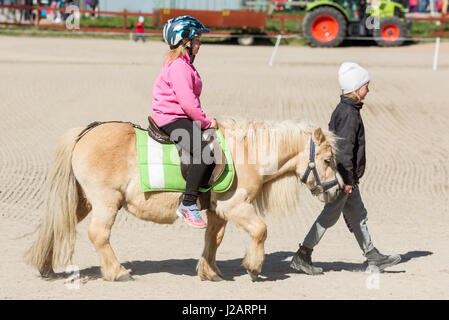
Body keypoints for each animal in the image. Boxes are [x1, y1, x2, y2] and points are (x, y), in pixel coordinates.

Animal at [26, 117, 342, 282]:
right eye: (327, 160)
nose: (337, 190)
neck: (246, 153)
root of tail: (87, 131)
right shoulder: (235, 207)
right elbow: (261, 230)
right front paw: (253, 267)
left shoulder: (217, 212)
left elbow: (213, 240)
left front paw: (210, 271)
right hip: (106, 203)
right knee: (98, 234)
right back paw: (118, 272)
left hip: (82, 201)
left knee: (58, 225)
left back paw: (46, 266)